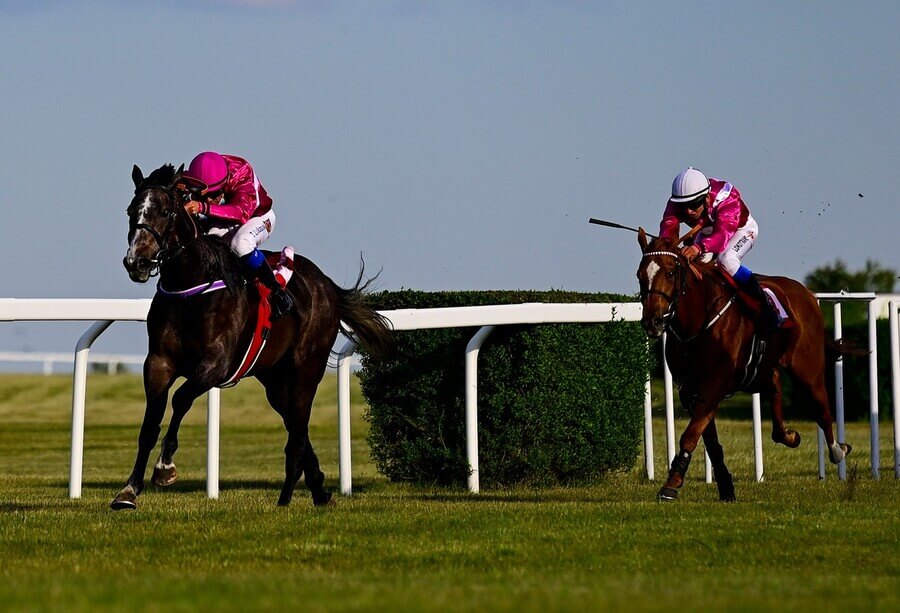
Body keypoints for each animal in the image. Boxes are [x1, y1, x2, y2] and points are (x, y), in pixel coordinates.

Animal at [115, 161, 390, 506]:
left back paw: (289, 495)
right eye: (130, 211)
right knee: (295, 424)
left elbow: (180, 399)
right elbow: (149, 424)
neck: (191, 287)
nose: (136, 262)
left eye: (165, 211)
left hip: (305, 369)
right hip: (274, 379)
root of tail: (326, 284)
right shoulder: (158, 362)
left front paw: (165, 468)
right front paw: (129, 490)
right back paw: (317, 488)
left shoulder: (216, 364)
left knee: (298, 429)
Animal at [636, 226, 848, 502]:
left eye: (670, 272)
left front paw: (671, 484)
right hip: (763, 371)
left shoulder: (714, 384)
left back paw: (837, 449)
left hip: (808, 370)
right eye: (640, 275)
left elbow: (690, 435)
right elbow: (709, 441)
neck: (698, 321)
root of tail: (807, 294)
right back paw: (788, 435)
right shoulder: (690, 390)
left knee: (822, 409)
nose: (653, 321)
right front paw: (724, 485)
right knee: (776, 388)